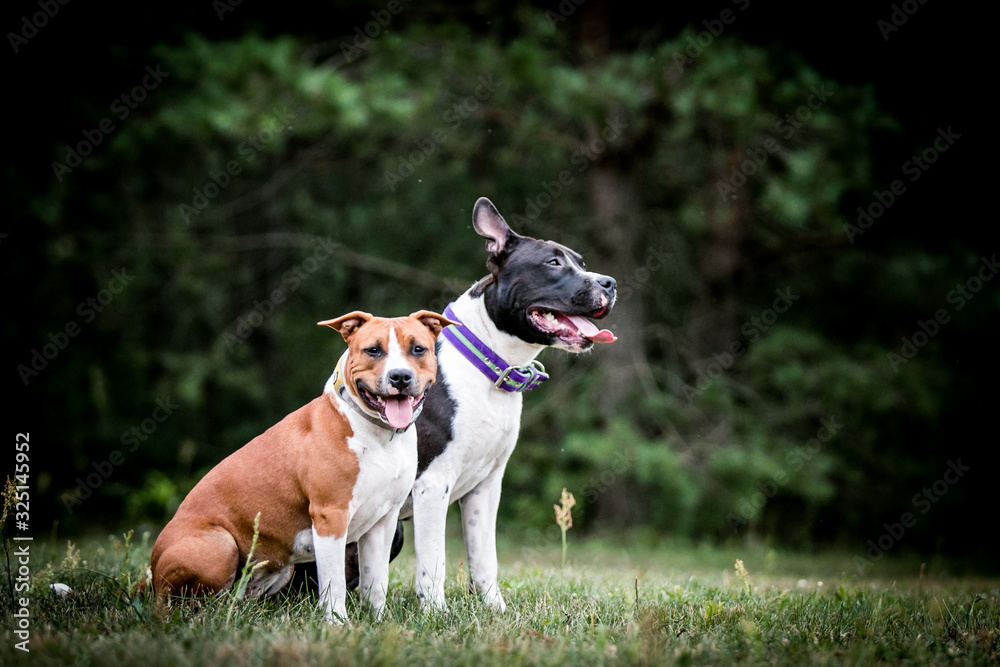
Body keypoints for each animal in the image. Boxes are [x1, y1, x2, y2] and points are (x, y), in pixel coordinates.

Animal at [147, 310, 454, 624]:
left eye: (418, 349)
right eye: (373, 350)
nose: (400, 377)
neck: (378, 435)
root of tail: (153, 567)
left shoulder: (383, 522)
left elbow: (376, 581)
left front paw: (379, 622)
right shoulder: (331, 517)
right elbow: (334, 583)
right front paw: (337, 623)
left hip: (277, 569)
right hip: (220, 544)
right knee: (181, 602)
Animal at [392, 198, 616, 612]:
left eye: (580, 261)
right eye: (553, 262)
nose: (609, 283)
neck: (490, 364)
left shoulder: (486, 486)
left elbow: (485, 557)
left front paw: (494, 608)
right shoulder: (432, 484)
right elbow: (434, 560)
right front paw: (435, 614)